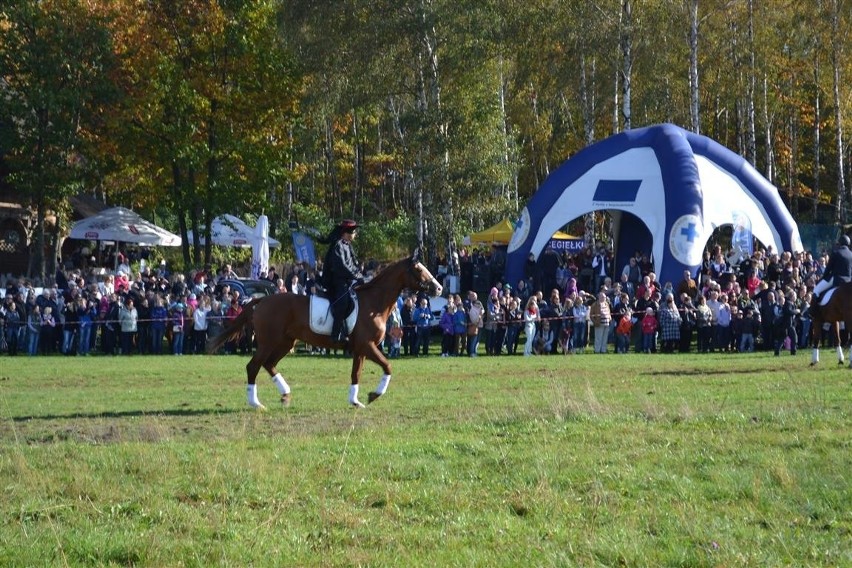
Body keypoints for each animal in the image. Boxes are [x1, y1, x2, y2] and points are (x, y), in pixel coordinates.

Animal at [209, 252, 442, 408]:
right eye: (419, 269)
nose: (439, 288)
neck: (374, 303)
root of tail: (262, 300)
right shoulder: (367, 346)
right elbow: (388, 366)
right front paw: (374, 394)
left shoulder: (360, 349)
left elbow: (356, 373)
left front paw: (355, 401)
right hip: (268, 342)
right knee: (253, 366)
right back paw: (256, 403)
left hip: (286, 342)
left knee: (268, 364)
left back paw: (285, 394)